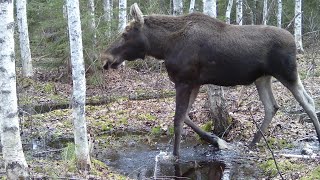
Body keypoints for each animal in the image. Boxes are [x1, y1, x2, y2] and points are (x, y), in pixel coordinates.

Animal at [102, 2, 320, 158]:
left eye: (125, 34)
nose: (105, 58)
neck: (163, 47)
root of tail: (294, 40)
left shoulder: (183, 81)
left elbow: (178, 120)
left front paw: (175, 156)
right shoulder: (195, 82)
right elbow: (186, 116)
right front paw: (217, 141)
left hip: (287, 73)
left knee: (308, 101)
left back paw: (316, 134)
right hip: (262, 78)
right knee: (272, 106)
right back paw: (253, 142)